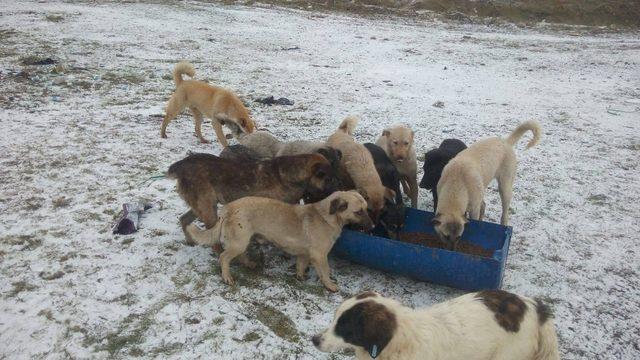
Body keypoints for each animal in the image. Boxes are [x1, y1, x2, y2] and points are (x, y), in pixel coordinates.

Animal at [185, 190, 372, 292]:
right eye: (358, 212)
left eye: (366, 209)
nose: (373, 225)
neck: (325, 216)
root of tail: (228, 208)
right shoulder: (320, 256)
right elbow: (325, 272)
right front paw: (330, 286)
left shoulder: (304, 254)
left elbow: (300, 266)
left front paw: (300, 277)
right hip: (239, 242)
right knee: (224, 257)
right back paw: (227, 277)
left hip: (242, 241)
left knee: (238, 255)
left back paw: (249, 264)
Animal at [436, 119, 540, 249]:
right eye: (445, 236)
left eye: (459, 237)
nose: (452, 251)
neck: (456, 183)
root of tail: (505, 141)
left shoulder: (473, 209)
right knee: (484, 205)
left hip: (504, 188)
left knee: (504, 213)